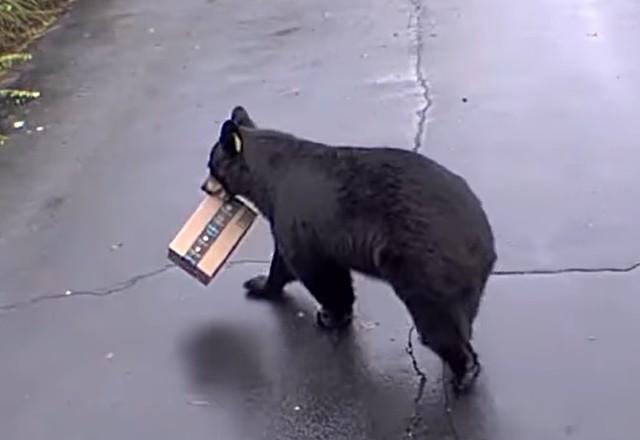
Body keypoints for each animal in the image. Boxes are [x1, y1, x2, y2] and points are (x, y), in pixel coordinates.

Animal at [204, 106, 497, 393]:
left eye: (211, 165)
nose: (204, 186)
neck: (270, 176)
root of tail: (483, 241)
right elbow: (312, 267)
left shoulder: (295, 216)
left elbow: (309, 267)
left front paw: (327, 313)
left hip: (425, 265)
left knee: (437, 321)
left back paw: (463, 370)